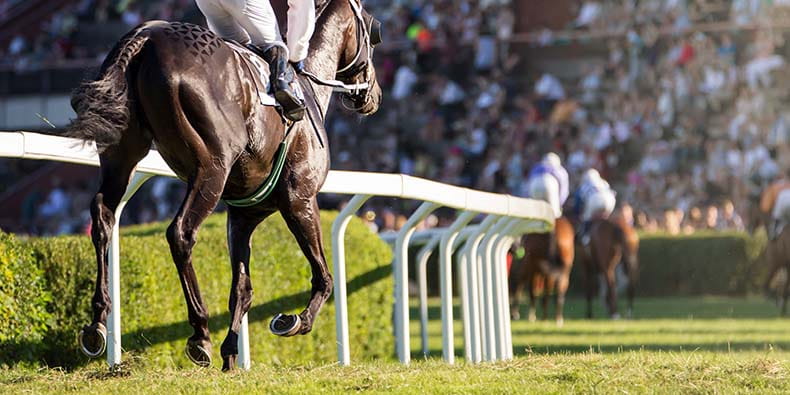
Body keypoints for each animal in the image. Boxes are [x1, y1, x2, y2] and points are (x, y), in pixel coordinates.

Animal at [66, 0, 382, 372]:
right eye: (373, 31)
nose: (373, 94)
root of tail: (146, 36)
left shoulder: (243, 214)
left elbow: (242, 289)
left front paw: (231, 355)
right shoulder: (299, 198)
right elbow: (324, 276)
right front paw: (293, 321)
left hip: (122, 154)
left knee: (103, 216)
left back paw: (97, 323)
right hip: (212, 167)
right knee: (180, 233)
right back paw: (199, 332)